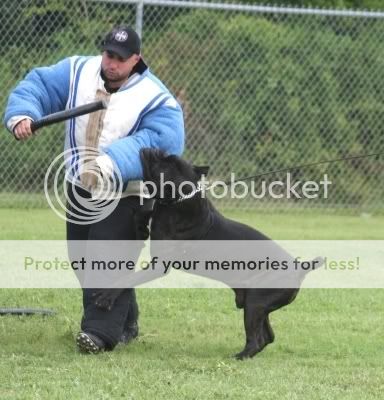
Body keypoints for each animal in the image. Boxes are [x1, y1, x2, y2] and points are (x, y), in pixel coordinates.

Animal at [94, 149, 322, 360]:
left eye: (166, 162)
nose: (154, 149)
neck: (178, 201)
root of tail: (299, 269)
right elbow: (143, 213)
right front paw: (140, 226)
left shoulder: (159, 265)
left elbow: (126, 279)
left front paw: (105, 297)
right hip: (257, 304)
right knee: (269, 336)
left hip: (255, 303)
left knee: (258, 339)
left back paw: (239, 357)